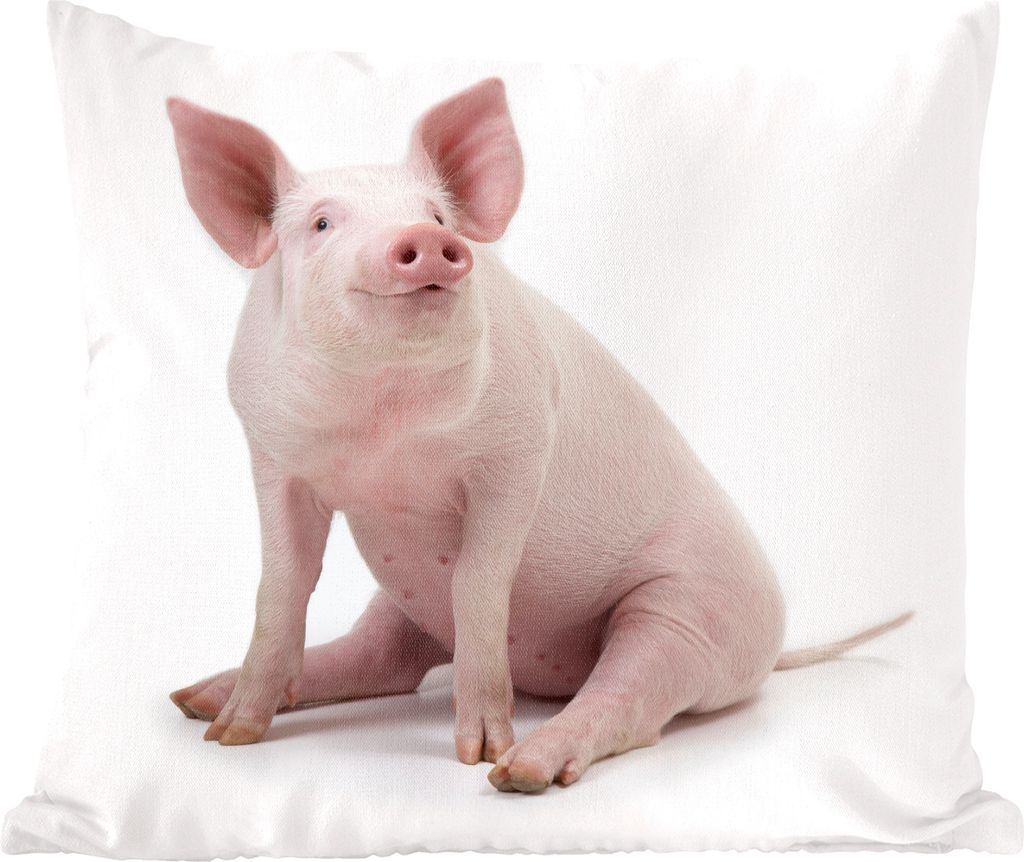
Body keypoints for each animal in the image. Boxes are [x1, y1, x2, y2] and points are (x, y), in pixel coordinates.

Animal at [166, 78, 912, 793]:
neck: (383, 424)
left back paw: (520, 771)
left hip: (687, 613)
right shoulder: (271, 452)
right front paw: (230, 736)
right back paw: (198, 697)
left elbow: (479, 582)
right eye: (322, 222)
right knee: (385, 654)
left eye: (438, 216)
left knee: (633, 700)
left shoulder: (518, 448)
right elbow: (283, 582)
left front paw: (478, 754)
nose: (424, 239)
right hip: (404, 602)